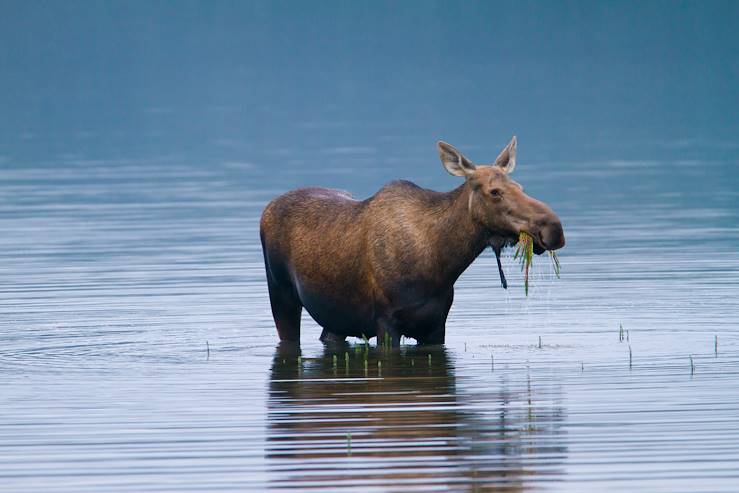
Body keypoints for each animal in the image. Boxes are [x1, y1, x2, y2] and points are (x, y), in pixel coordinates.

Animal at [262, 137, 568, 346]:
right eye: (495, 191)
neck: (442, 262)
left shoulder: (436, 326)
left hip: (335, 317)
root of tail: (267, 208)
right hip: (281, 295)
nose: (554, 228)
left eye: (520, 187)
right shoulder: (386, 323)